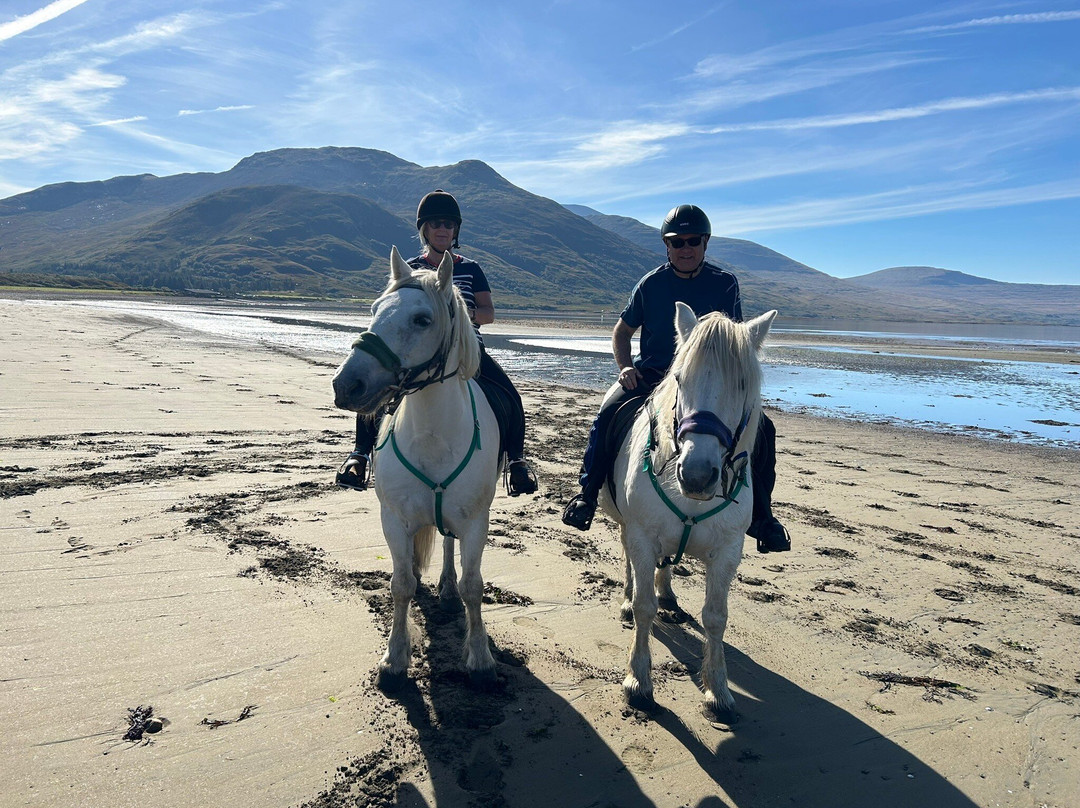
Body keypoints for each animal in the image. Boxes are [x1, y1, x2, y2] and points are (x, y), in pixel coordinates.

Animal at [332, 247, 502, 690]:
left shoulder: (475, 522)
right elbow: (401, 584)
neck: (432, 436)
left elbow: (473, 586)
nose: (345, 386)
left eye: (422, 319)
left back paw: (446, 588)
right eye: (374, 309)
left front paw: (480, 659)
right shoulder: (394, 518)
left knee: (447, 545)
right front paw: (394, 659)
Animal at [599, 302, 777, 722]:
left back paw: (669, 598)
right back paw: (628, 600)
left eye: (742, 384)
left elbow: (716, 616)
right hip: (627, 526)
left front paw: (718, 691)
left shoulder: (727, 551)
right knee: (630, 562)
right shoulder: (641, 535)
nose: (696, 475)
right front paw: (638, 683)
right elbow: (644, 606)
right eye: (678, 378)